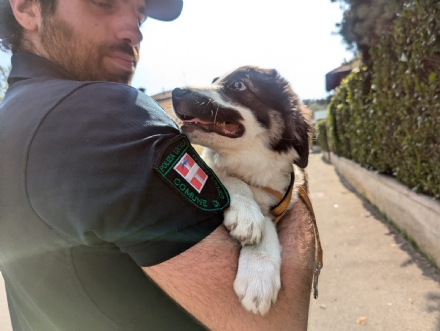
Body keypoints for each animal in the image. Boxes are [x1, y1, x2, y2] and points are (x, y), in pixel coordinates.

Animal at [170, 65, 318, 316]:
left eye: (238, 85)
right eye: (214, 80)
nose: (175, 92)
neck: (251, 166)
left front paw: (259, 270)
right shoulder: (210, 162)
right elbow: (227, 176)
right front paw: (247, 216)